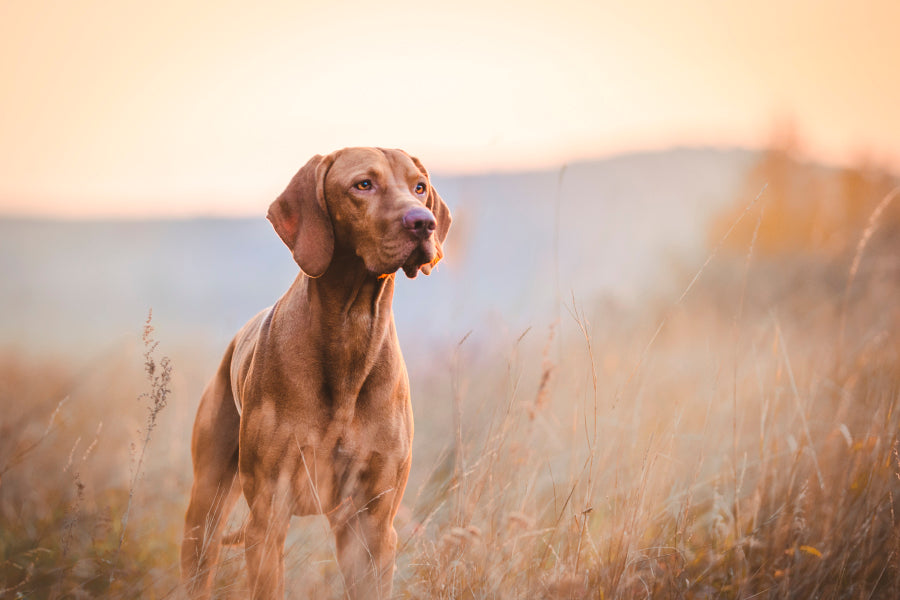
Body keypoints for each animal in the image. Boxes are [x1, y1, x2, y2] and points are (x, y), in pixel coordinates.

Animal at [181, 146, 450, 600]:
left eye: (419, 187)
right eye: (363, 184)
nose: (423, 222)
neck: (352, 331)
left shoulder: (372, 525)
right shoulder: (268, 516)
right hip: (205, 507)